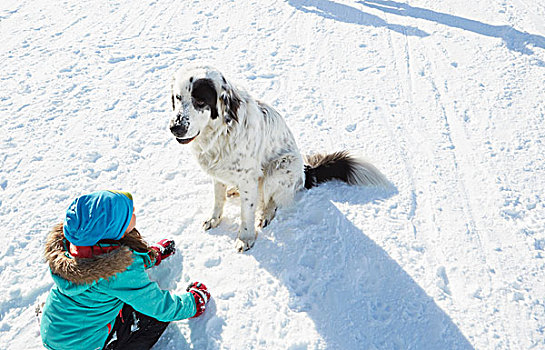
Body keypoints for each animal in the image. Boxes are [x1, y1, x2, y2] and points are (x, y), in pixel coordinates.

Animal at [170, 65, 386, 252]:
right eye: (178, 98)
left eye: (200, 101)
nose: (175, 127)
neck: (221, 133)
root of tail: (305, 172)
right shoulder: (218, 174)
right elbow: (218, 199)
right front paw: (214, 219)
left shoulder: (248, 178)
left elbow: (246, 212)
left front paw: (245, 238)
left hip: (279, 168)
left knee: (272, 199)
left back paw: (264, 215)